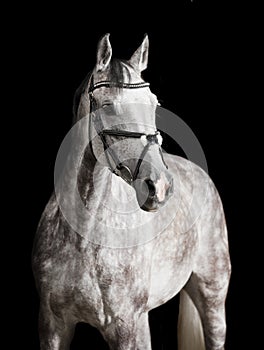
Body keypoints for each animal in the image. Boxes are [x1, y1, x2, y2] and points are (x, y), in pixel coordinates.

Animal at [32, 33, 231, 350]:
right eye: (109, 107)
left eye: (154, 103)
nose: (160, 187)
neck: (84, 235)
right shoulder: (52, 326)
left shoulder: (130, 327)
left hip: (212, 292)